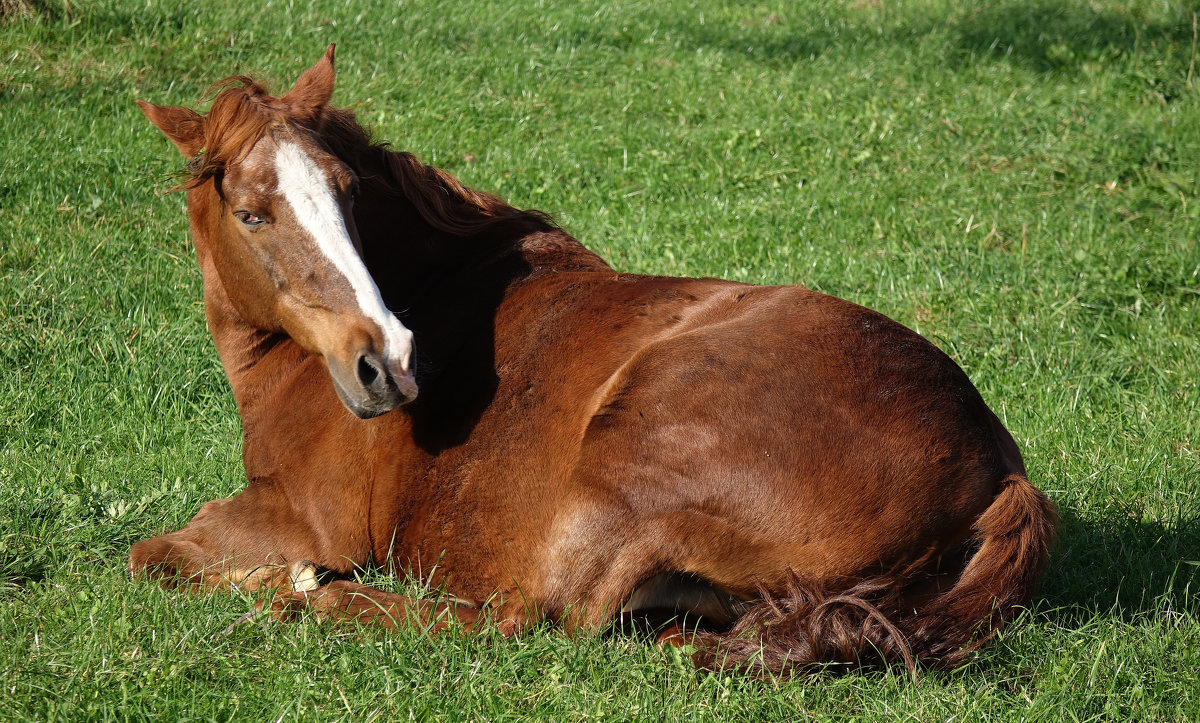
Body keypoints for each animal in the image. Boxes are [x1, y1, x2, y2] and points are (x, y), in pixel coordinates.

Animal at [129, 46, 1051, 677]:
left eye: (348, 193)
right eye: (252, 214)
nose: (386, 362)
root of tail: (997, 462)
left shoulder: (293, 515)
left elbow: (155, 555)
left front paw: (280, 582)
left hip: (618, 471)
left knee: (524, 617)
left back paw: (314, 597)